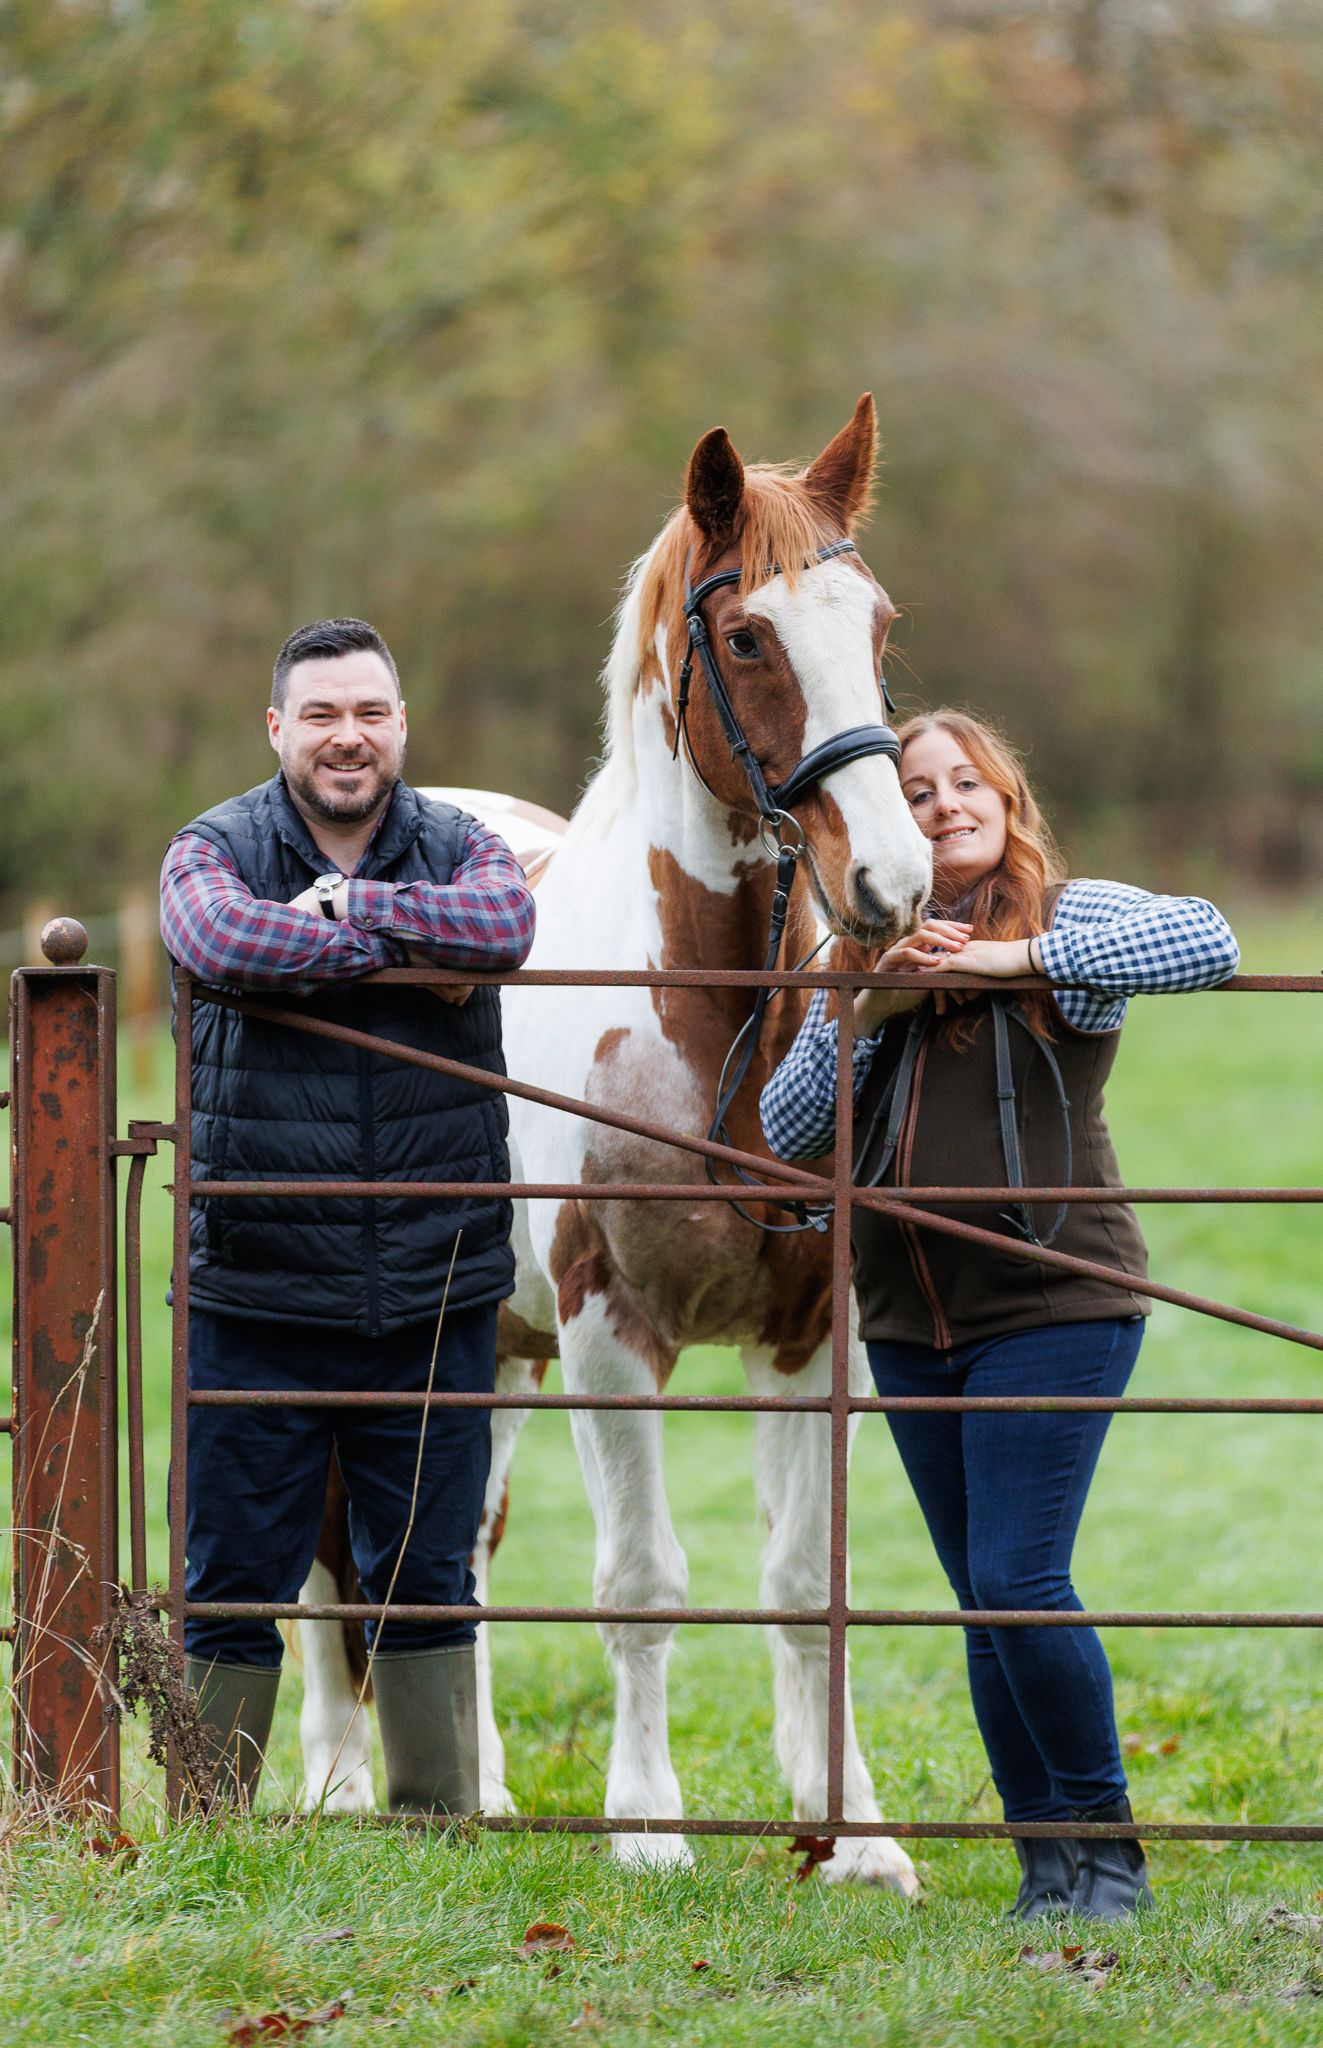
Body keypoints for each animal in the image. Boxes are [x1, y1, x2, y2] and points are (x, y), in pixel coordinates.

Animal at [298, 396, 932, 1888]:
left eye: (876, 625)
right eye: (748, 636)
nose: (892, 882)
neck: (701, 1030)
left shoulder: (810, 1337)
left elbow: (801, 1583)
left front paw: (854, 1834)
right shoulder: (608, 1331)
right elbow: (641, 1586)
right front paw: (646, 1825)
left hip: (491, 1353)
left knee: (452, 1549)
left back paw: (473, 1791)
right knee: (324, 1558)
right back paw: (339, 1783)